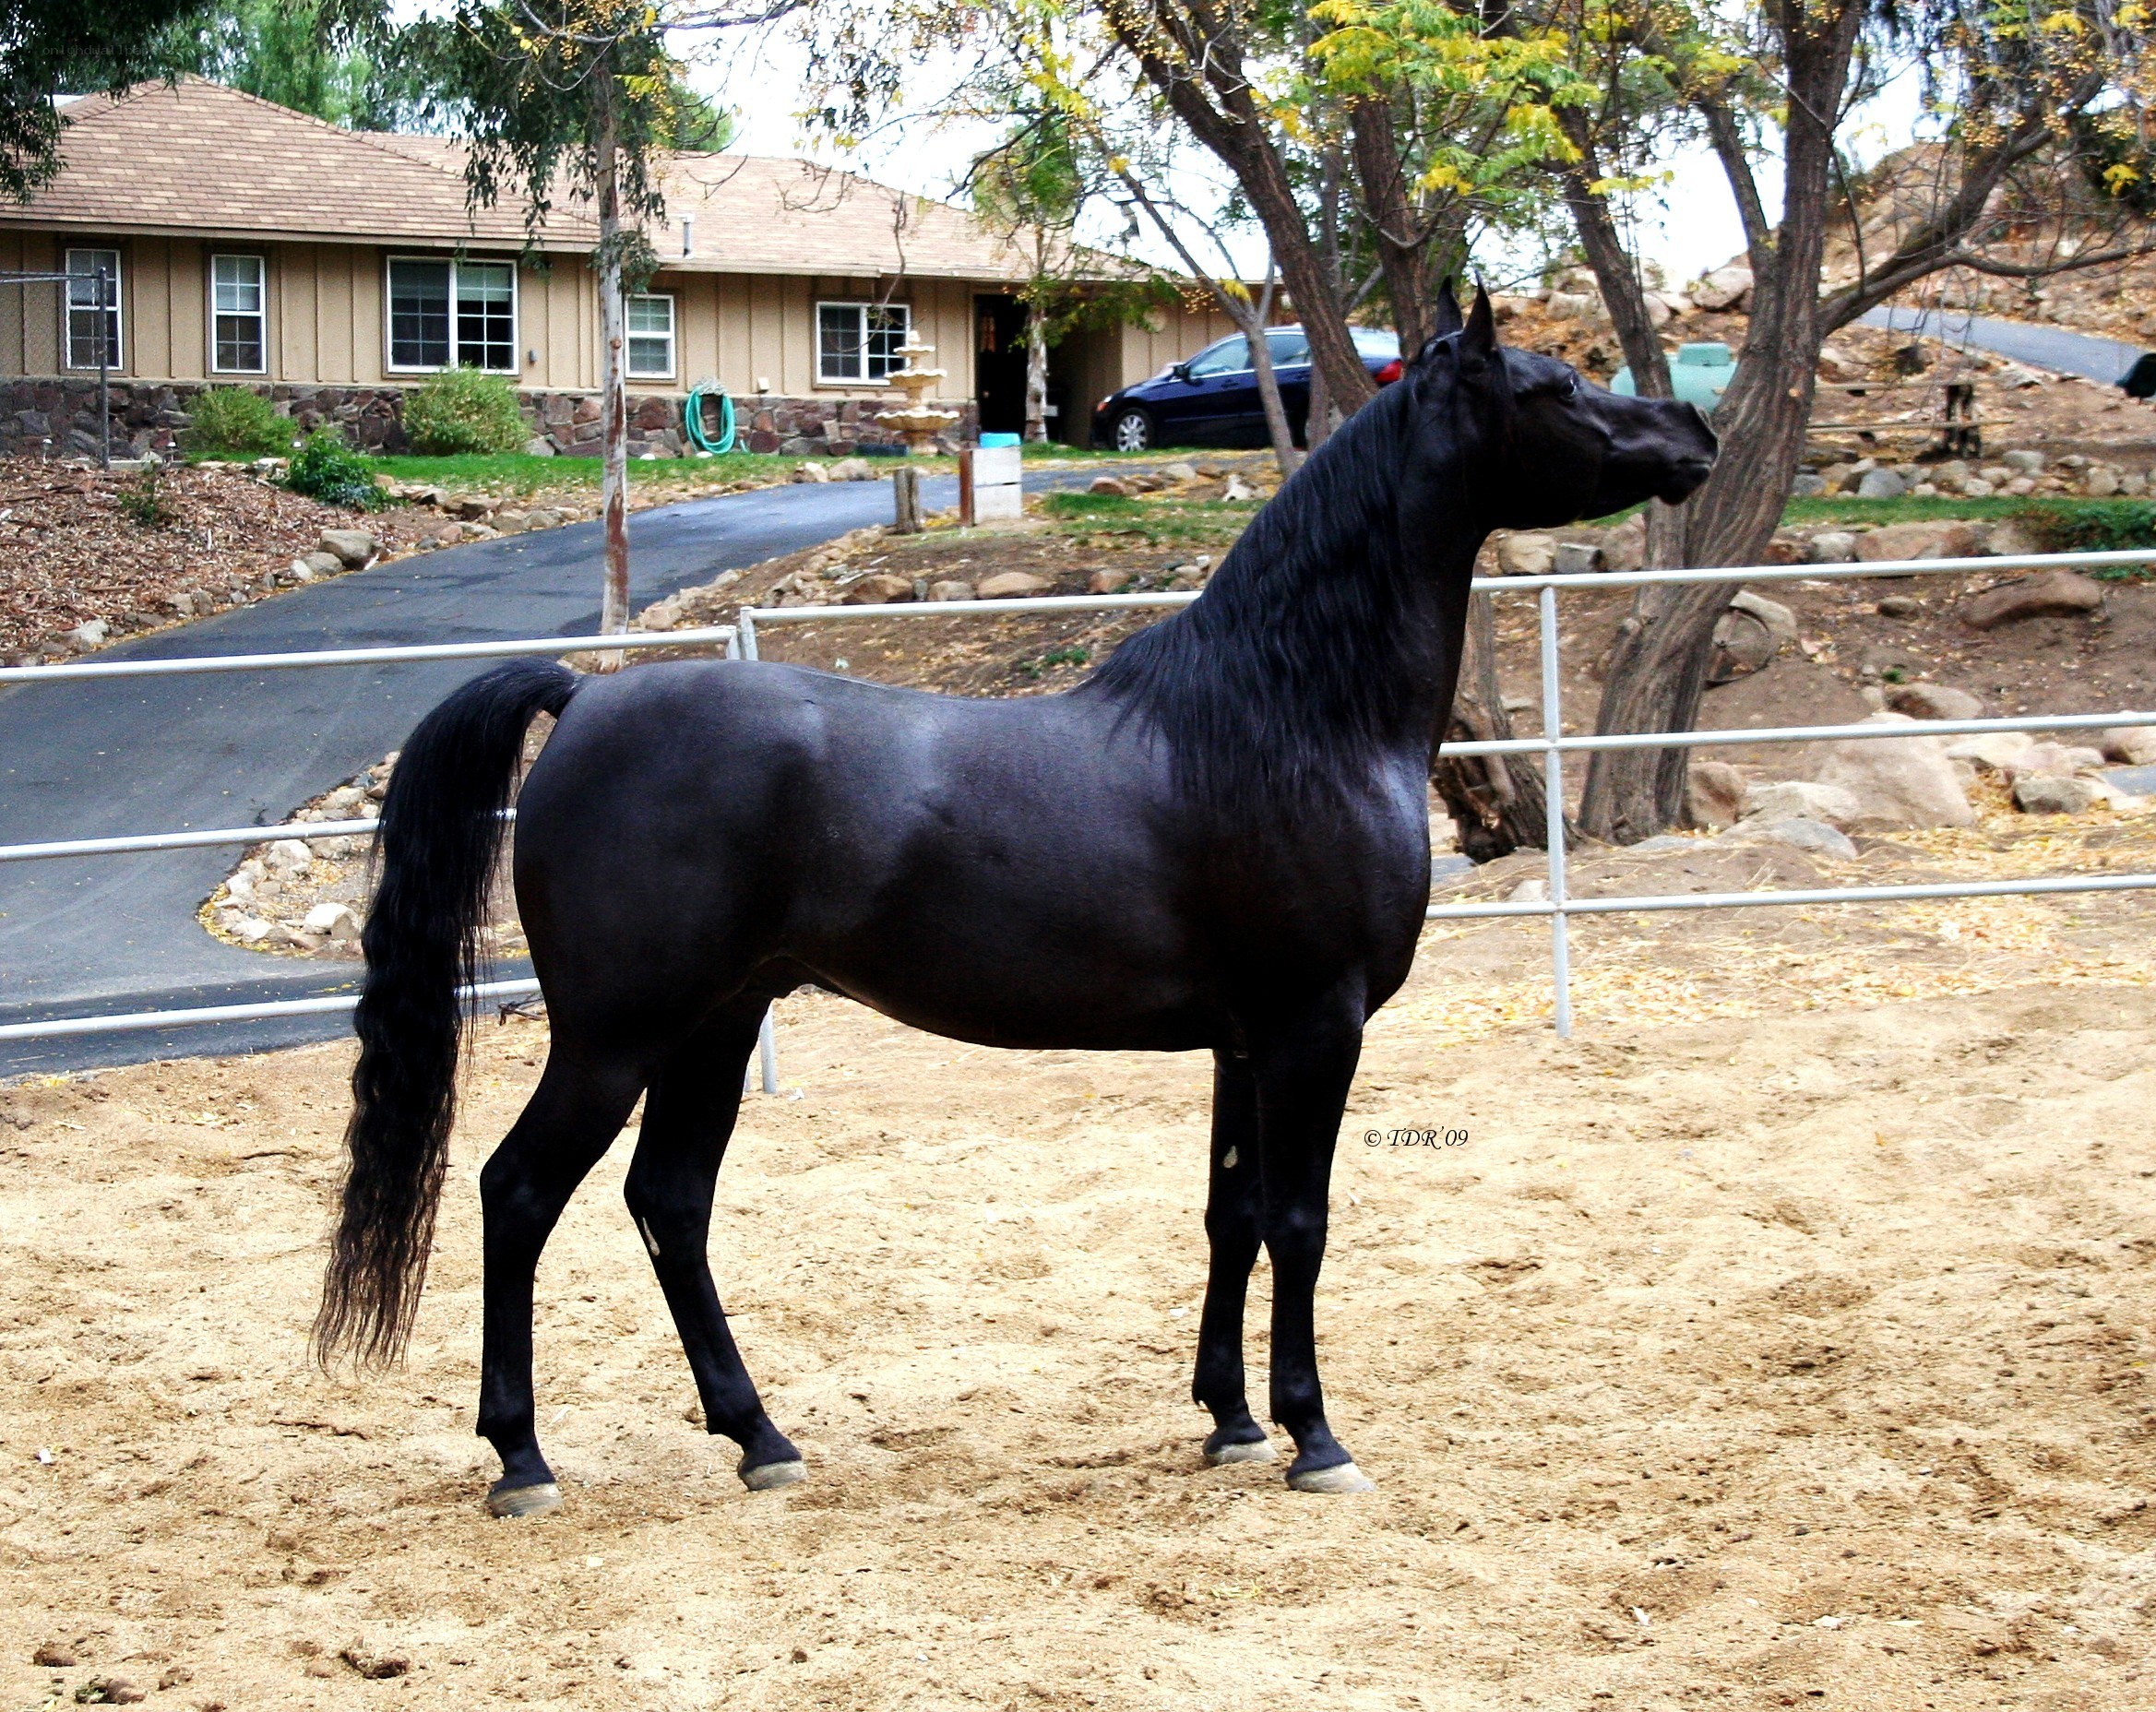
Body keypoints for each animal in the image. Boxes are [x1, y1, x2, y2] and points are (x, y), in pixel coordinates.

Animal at [315, 286, 1716, 1517]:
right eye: (1553, 386)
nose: (1691, 433)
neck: (1283, 718)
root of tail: (586, 696)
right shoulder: (1315, 1027)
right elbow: (1302, 1223)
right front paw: (1315, 1437)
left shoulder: (1243, 1040)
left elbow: (1232, 1216)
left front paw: (1231, 1421)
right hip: (615, 1040)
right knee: (518, 1194)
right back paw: (523, 1460)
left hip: (713, 1027)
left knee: (670, 1205)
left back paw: (763, 1439)